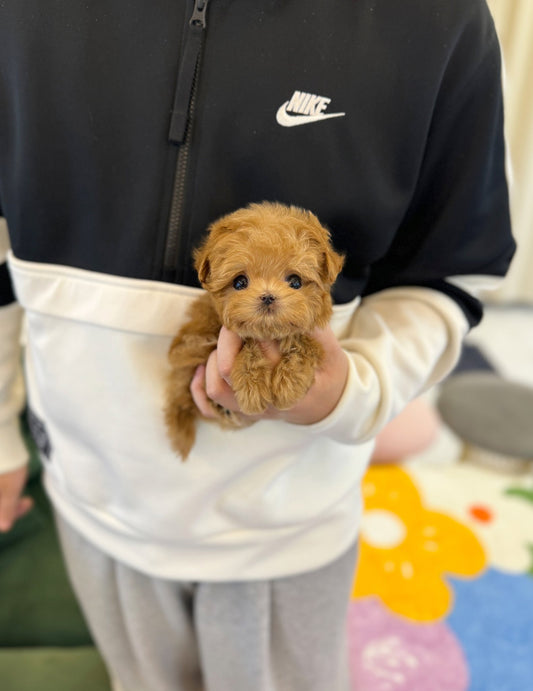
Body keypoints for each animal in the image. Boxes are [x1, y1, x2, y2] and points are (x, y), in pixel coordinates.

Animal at [164, 201, 342, 460]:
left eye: (295, 281)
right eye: (240, 282)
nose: (268, 297)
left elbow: (302, 342)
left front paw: (288, 385)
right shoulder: (194, 342)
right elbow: (247, 343)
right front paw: (252, 386)